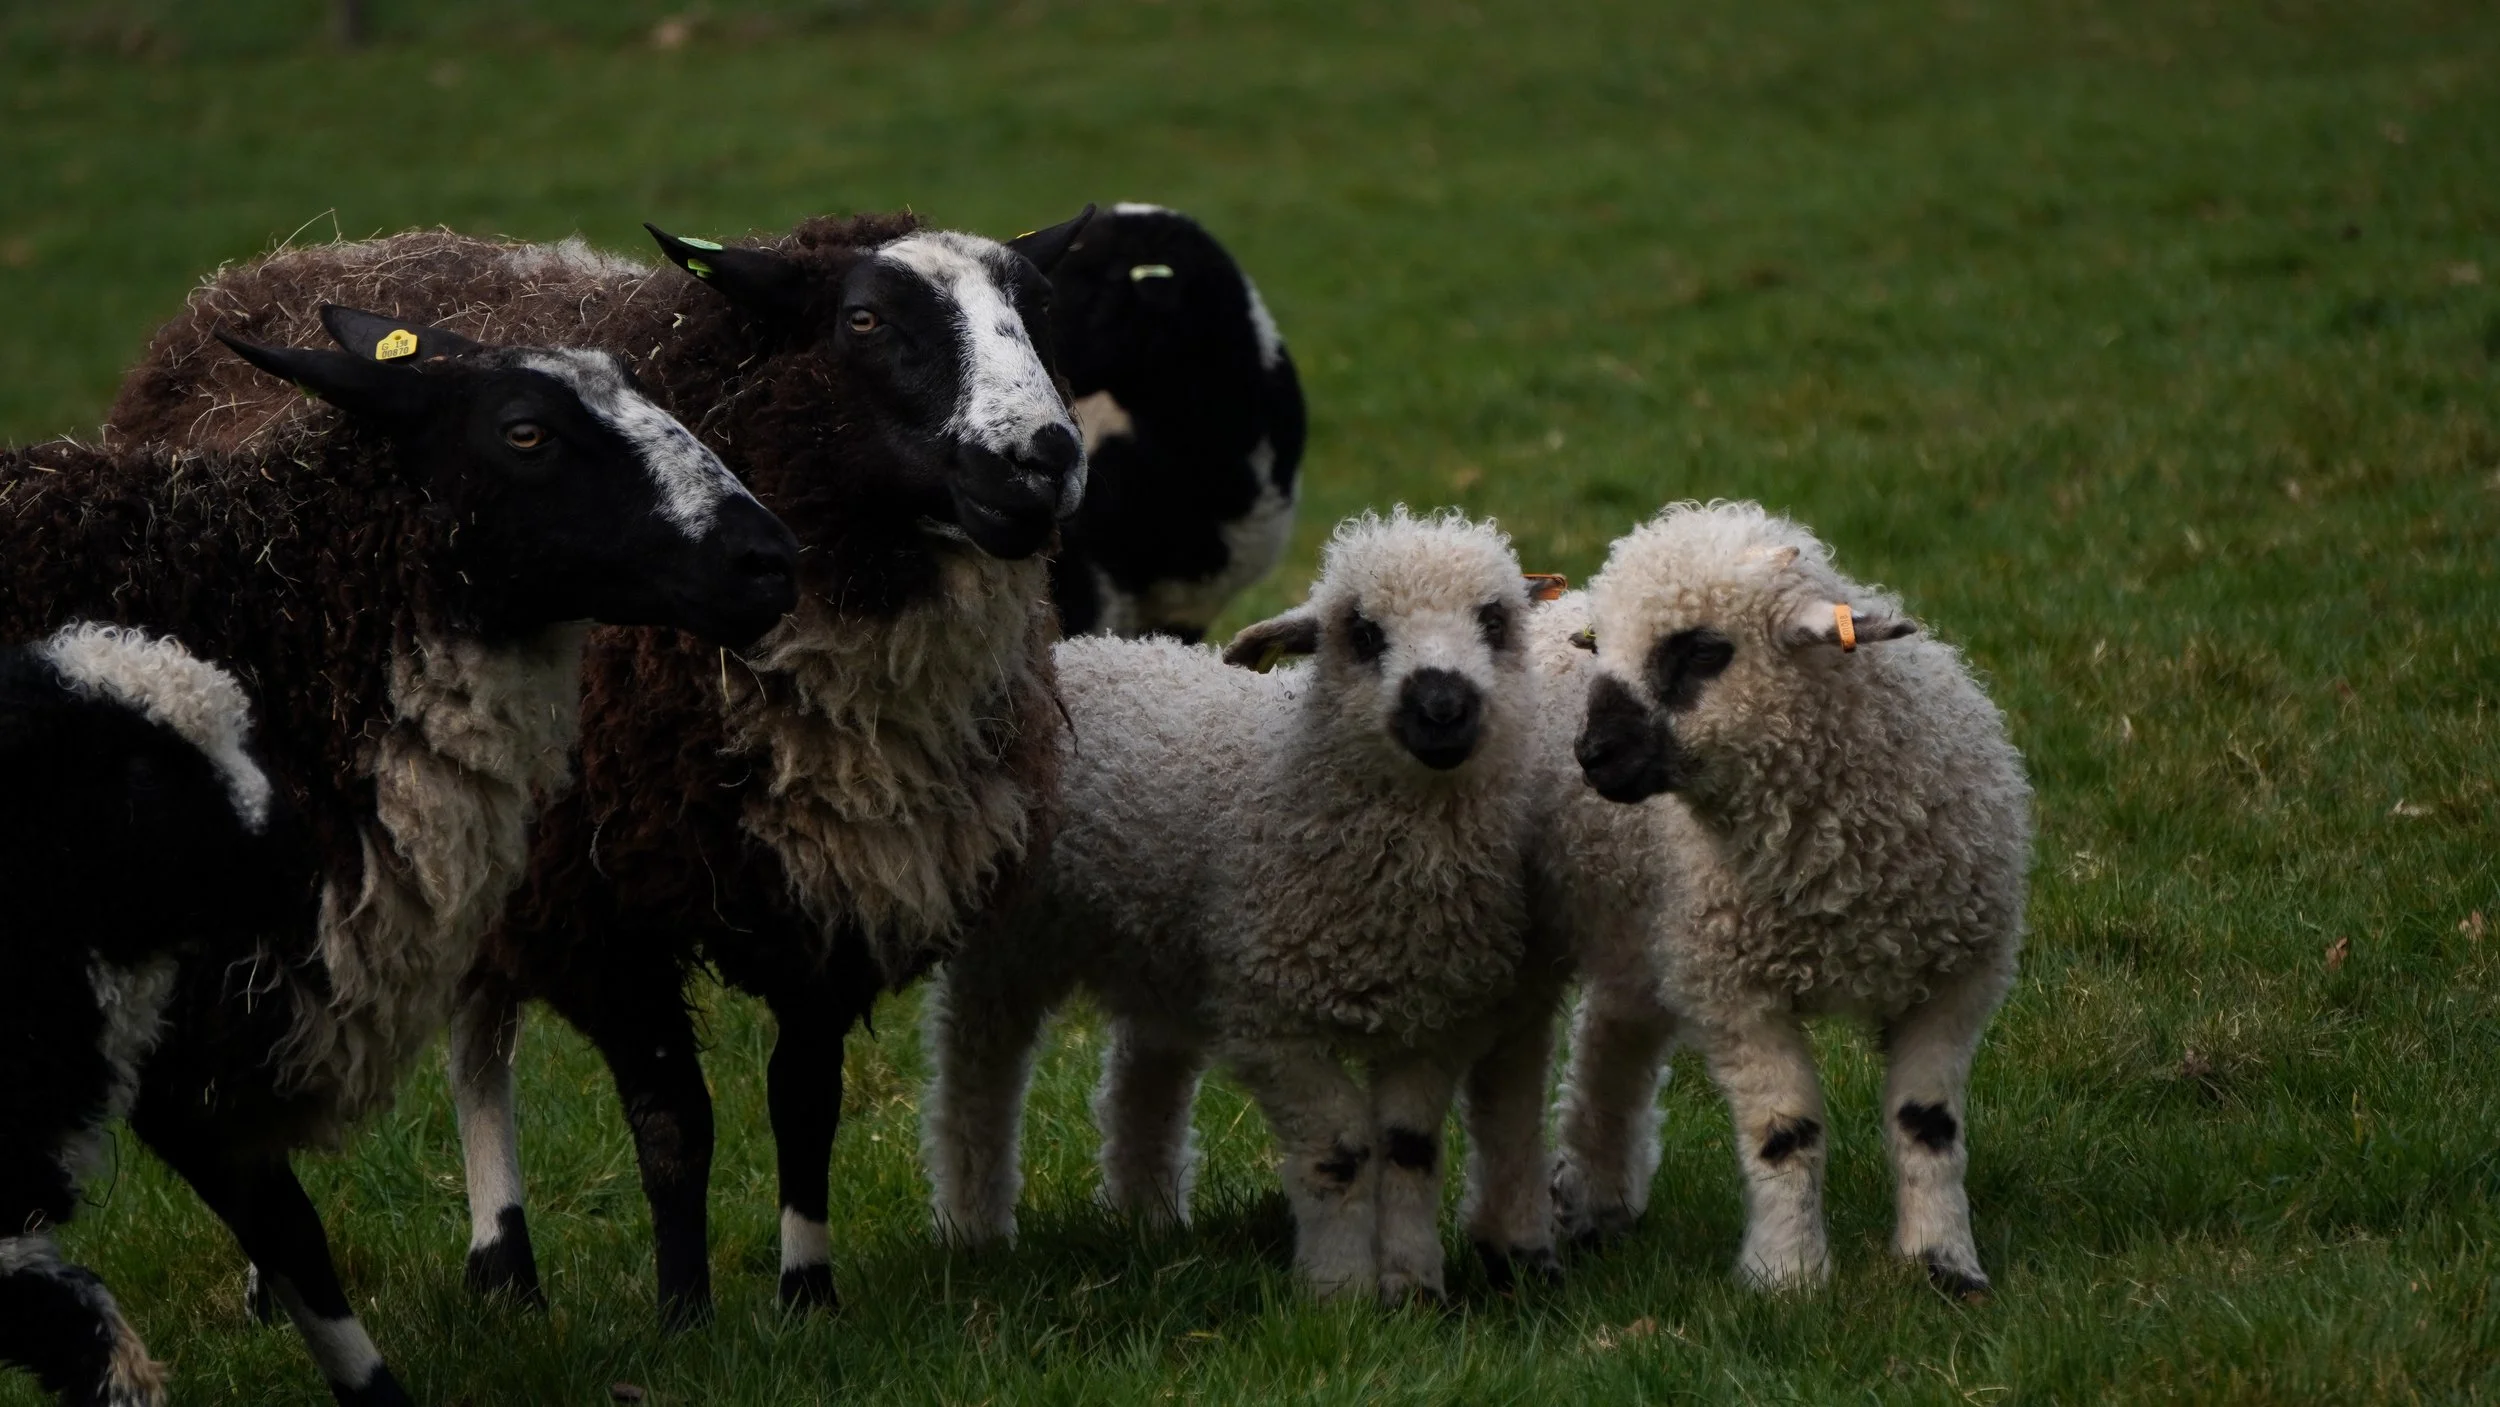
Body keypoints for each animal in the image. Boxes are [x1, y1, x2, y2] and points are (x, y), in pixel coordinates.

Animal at [105, 207, 1101, 1326]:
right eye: (865, 319)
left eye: (1040, 307)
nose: (1042, 460)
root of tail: (301, 257)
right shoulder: (602, 909)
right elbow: (676, 1122)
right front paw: (685, 1316)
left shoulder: (828, 897)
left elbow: (806, 1103)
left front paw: (807, 1298)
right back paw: (297, 1288)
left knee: (478, 1031)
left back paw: (502, 1267)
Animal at [923, 509, 1542, 1303]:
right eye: (1362, 631)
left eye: (1494, 621)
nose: (1442, 705)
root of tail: (1079, 651)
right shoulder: (1269, 1019)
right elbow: (1339, 1149)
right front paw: (1339, 1293)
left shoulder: (1433, 1022)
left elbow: (1409, 1150)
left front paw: (1412, 1286)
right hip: (1005, 944)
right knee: (975, 1079)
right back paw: (972, 1228)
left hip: (1162, 947)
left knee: (1142, 1078)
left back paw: (1147, 1218)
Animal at [1552, 501, 2032, 1296]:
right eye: (1599, 647)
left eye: (1702, 650)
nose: (1593, 756)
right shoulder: (1732, 987)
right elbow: (1784, 1133)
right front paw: (1788, 1276)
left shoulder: (1957, 978)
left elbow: (1928, 1125)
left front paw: (1943, 1263)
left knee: (1610, 1042)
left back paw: (1597, 1203)